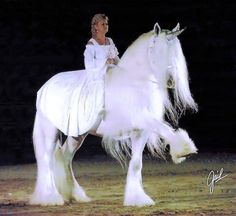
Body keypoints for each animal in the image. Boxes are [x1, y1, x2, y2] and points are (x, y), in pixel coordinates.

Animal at [30, 22, 198, 207]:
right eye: (159, 50)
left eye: (175, 53)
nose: (170, 81)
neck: (134, 81)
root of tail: (45, 86)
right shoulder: (144, 119)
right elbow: (166, 130)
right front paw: (184, 151)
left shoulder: (141, 131)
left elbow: (136, 164)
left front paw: (137, 199)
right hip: (50, 131)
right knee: (47, 160)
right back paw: (50, 198)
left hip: (77, 136)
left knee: (65, 157)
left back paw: (73, 195)